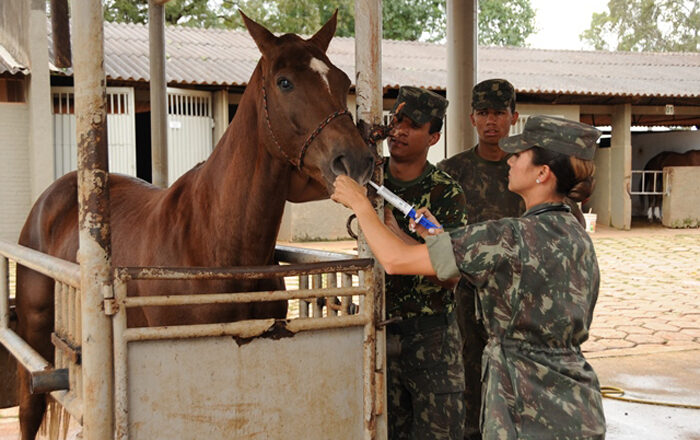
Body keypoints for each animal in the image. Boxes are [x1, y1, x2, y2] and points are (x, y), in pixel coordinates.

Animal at [13, 12, 374, 438]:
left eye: (341, 79)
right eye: (284, 82)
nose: (355, 160)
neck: (215, 243)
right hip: (36, 333)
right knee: (29, 409)